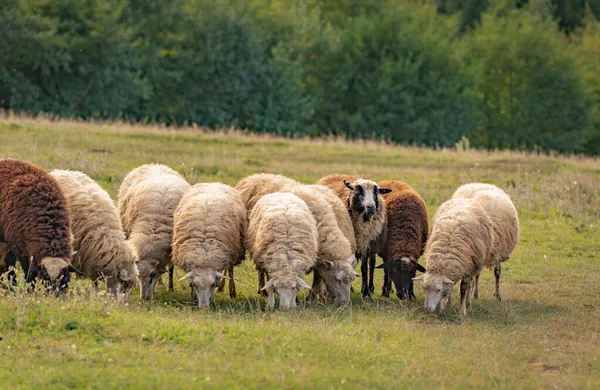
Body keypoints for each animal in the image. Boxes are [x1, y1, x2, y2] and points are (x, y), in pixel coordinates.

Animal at [0, 158, 78, 292]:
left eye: (64, 280)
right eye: (45, 278)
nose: (54, 295)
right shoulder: (20, 248)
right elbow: (28, 272)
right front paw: (29, 290)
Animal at [118, 163, 190, 300]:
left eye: (152, 275)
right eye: (139, 276)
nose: (144, 298)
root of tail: (155, 164)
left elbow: (170, 268)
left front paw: (170, 288)